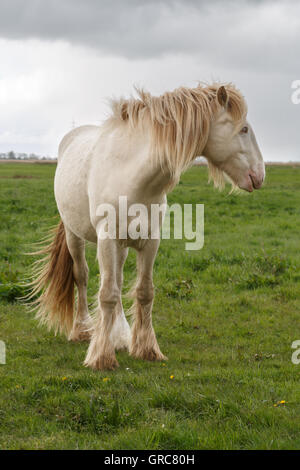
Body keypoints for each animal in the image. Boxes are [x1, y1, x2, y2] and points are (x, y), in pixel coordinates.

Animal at [29, 83, 264, 370]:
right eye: (244, 129)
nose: (260, 175)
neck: (132, 174)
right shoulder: (107, 239)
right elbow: (106, 294)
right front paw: (101, 356)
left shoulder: (150, 241)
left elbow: (143, 292)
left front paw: (146, 348)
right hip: (76, 236)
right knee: (82, 277)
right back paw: (82, 330)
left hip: (122, 246)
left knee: (117, 280)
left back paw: (119, 335)